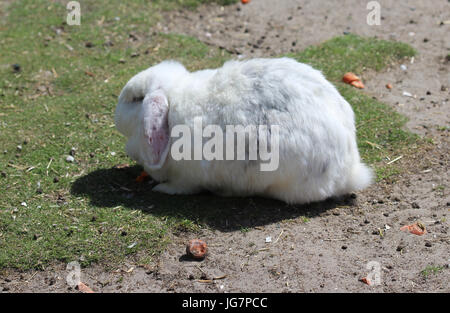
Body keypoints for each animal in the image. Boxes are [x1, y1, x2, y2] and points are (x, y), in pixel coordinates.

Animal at [116, 58, 372, 205]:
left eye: (136, 99)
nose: (116, 116)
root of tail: (349, 169)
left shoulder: (187, 177)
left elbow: (181, 187)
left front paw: (162, 189)